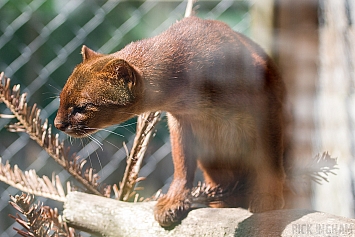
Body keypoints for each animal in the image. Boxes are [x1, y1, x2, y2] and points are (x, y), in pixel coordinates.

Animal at [56, 15, 290, 227]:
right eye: (62, 99)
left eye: (82, 107)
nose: (58, 124)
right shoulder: (180, 120)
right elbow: (181, 163)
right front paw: (173, 201)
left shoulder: (267, 104)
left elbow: (269, 160)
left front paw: (268, 197)